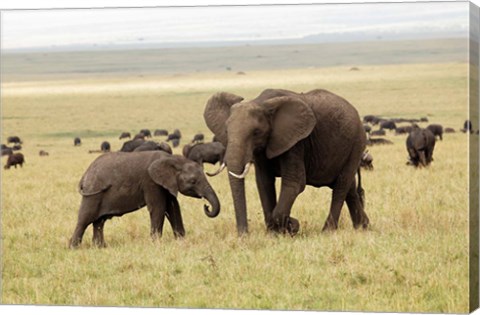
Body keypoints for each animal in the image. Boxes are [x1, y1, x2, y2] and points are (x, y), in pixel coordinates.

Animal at [69, 151, 221, 249]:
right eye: (193, 181)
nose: (206, 206)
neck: (172, 159)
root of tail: (85, 175)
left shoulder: (166, 184)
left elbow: (173, 207)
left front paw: (181, 240)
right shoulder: (151, 182)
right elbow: (158, 208)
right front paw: (156, 243)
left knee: (99, 222)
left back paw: (100, 247)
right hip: (93, 194)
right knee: (85, 219)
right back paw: (74, 247)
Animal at [204, 88, 370, 235]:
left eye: (256, 132)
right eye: (226, 132)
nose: (244, 235)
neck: (261, 102)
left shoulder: (296, 142)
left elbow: (294, 182)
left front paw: (291, 226)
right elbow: (264, 182)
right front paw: (274, 233)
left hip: (356, 143)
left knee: (341, 186)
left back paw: (327, 232)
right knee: (349, 187)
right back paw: (362, 227)